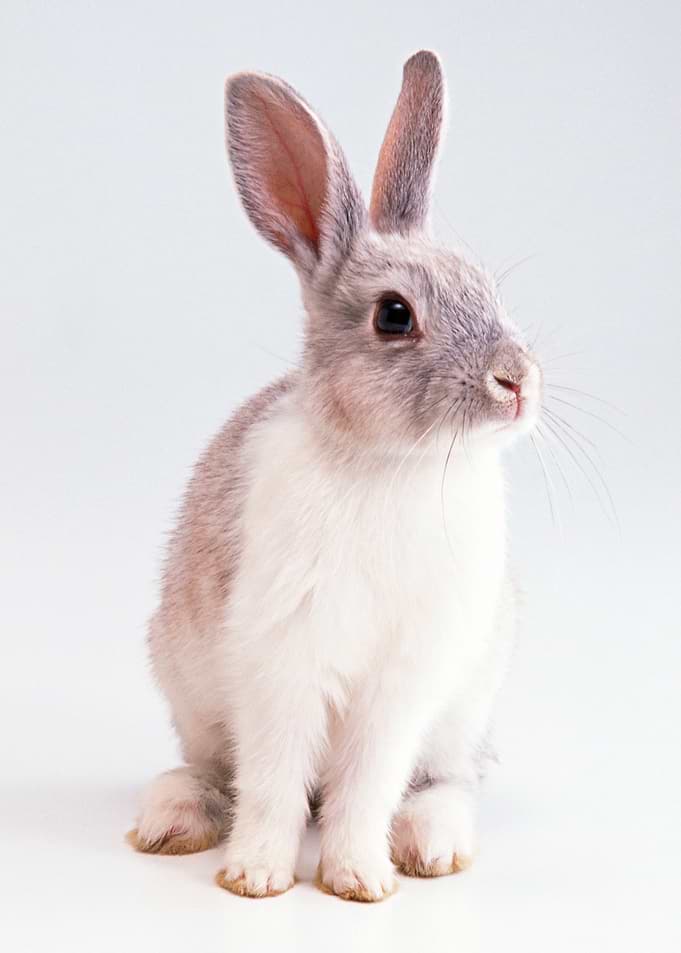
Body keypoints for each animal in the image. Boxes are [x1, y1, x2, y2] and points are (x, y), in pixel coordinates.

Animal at [128, 49, 542, 902]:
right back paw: (171, 820)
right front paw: (255, 875)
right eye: (393, 315)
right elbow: (274, 778)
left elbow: (367, 782)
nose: (518, 382)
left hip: (461, 710)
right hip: (191, 695)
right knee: (213, 770)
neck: (390, 464)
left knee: (446, 780)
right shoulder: (282, 660)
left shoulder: (402, 680)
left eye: (487, 288)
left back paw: (431, 846)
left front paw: (358, 878)